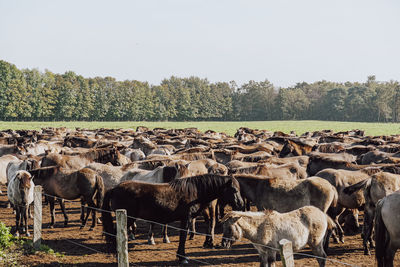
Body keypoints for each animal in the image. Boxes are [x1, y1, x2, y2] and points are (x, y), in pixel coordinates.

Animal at [101, 175, 244, 264]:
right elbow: (183, 237)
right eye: (234, 190)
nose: (241, 204)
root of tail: (114, 188)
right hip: (128, 219)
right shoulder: (186, 219)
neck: (194, 192)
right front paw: (182, 257)